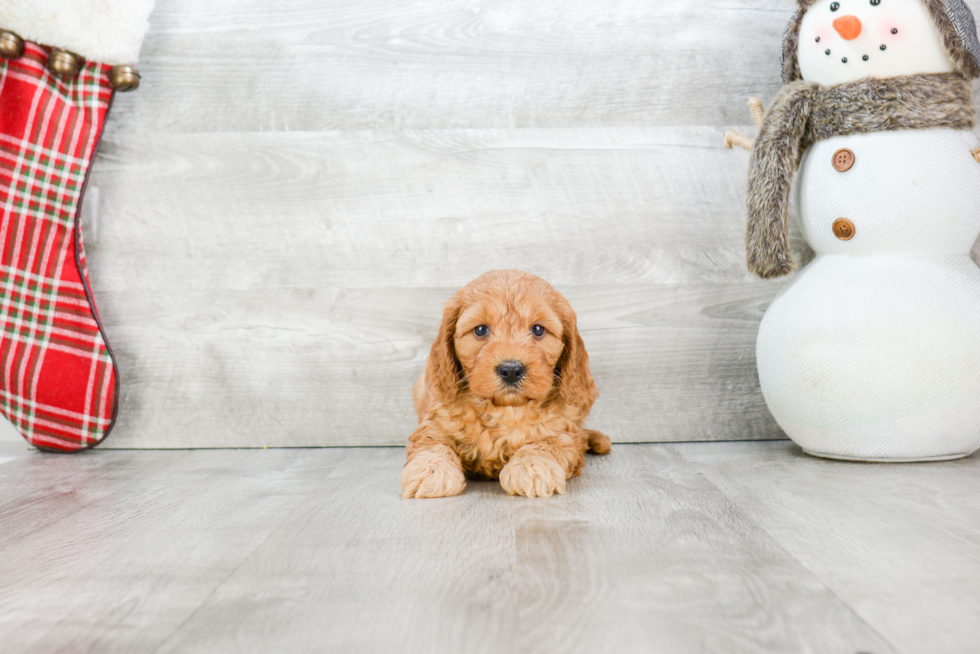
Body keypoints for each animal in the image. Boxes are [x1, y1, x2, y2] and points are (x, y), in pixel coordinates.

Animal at [402, 270, 608, 500]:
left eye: (538, 329)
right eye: (480, 330)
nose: (510, 370)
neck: (504, 409)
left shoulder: (564, 431)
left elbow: (547, 443)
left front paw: (532, 466)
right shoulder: (436, 421)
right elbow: (432, 443)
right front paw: (431, 470)